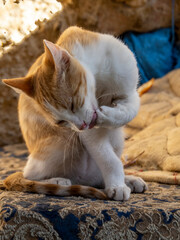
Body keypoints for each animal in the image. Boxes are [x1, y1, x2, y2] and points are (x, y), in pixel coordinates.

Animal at [2, 26, 147, 200]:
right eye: (60, 122)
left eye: (72, 105)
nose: (81, 126)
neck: (100, 80)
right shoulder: (88, 132)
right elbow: (108, 158)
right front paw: (117, 186)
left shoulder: (130, 92)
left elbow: (129, 111)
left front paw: (109, 116)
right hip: (58, 143)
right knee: (29, 174)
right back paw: (57, 180)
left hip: (116, 139)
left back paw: (129, 180)